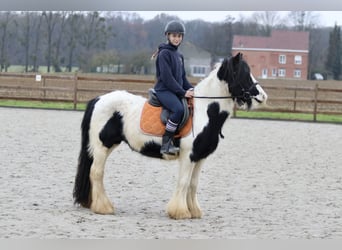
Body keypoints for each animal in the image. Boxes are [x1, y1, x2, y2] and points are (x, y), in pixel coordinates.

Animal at [73, 52, 268, 219]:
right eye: (242, 73)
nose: (262, 96)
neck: (204, 111)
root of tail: (99, 99)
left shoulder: (200, 157)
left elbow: (193, 184)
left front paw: (194, 211)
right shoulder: (188, 156)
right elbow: (183, 182)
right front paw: (180, 212)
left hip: (108, 145)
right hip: (101, 146)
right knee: (96, 172)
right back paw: (104, 207)